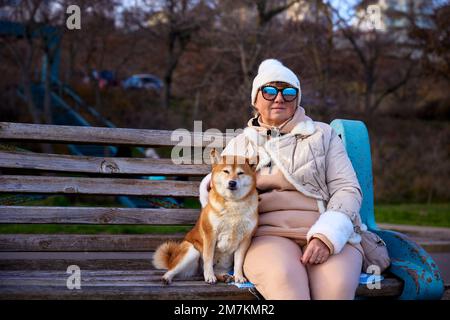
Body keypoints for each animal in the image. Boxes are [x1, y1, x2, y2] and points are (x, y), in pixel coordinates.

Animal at [153, 149, 258, 284]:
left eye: (240, 173)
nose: (232, 182)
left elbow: (239, 262)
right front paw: (209, 276)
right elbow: (208, 258)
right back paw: (167, 278)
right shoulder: (210, 234)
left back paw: (225, 277)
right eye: (226, 171)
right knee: (173, 269)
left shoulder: (245, 238)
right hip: (192, 252)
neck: (233, 203)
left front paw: (239, 276)